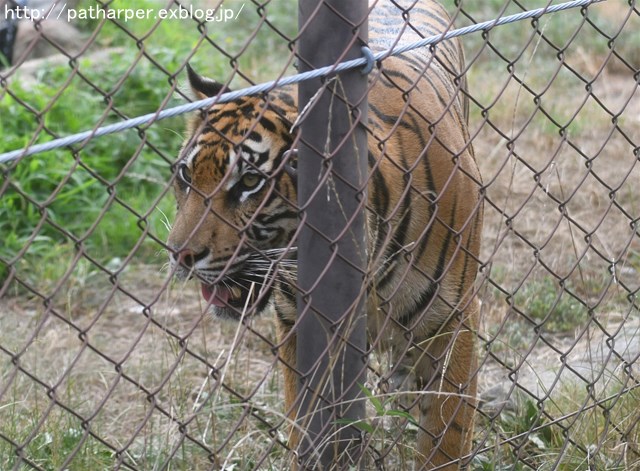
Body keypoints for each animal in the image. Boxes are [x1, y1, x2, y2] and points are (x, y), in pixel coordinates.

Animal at [168, 0, 482, 468]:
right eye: (186, 177)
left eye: (249, 183)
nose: (179, 255)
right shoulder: (296, 324)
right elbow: (305, 421)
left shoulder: (453, 317)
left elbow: (447, 436)